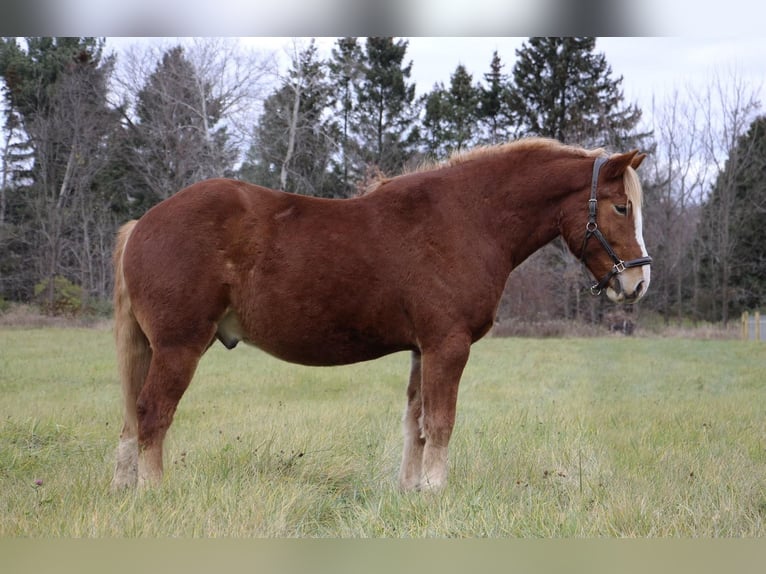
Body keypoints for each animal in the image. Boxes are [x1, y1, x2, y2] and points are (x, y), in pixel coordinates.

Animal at [111, 137, 656, 492]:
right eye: (621, 207)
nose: (637, 283)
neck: (468, 218)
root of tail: (144, 223)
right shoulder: (447, 346)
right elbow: (441, 421)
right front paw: (435, 491)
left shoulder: (421, 349)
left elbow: (415, 423)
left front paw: (410, 490)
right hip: (180, 346)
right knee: (153, 413)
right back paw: (155, 492)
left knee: (132, 416)